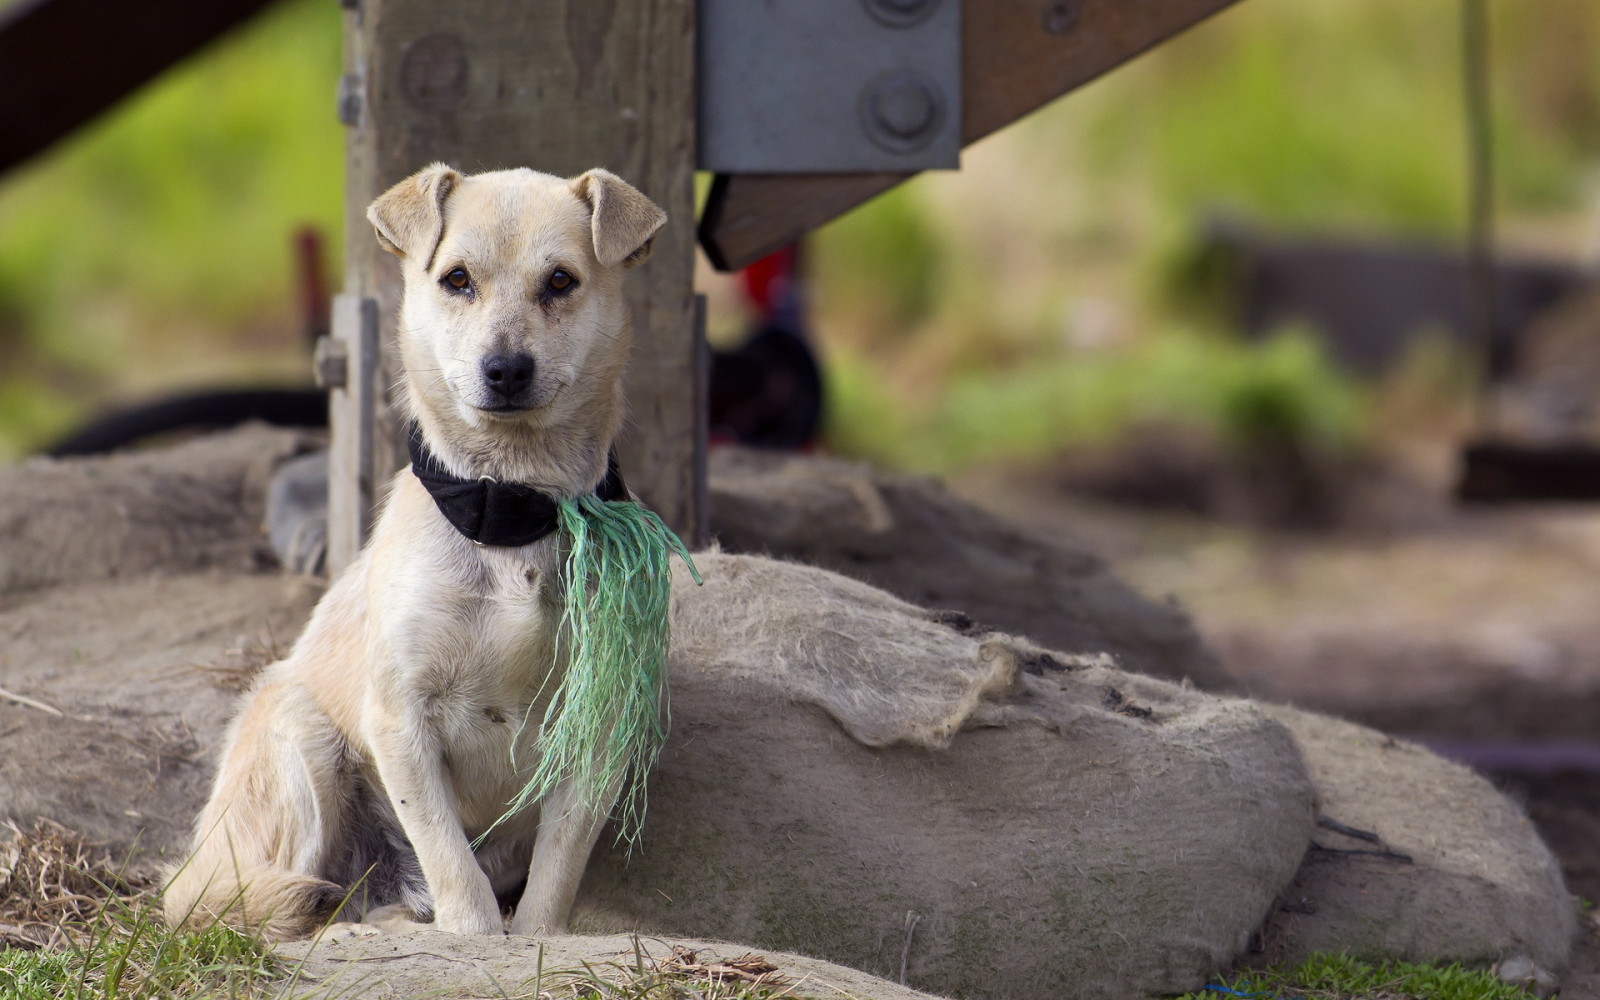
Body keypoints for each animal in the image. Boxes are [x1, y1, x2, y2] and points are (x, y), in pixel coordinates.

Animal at [160, 161, 662, 934]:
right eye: (457, 279)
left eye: (560, 281)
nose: (505, 368)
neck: (507, 510)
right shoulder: (400, 716)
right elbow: (451, 860)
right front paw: (477, 934)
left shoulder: (597, 726)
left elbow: (557, 868)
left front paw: (538, 936)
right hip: (300, 738)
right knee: (251, 900)